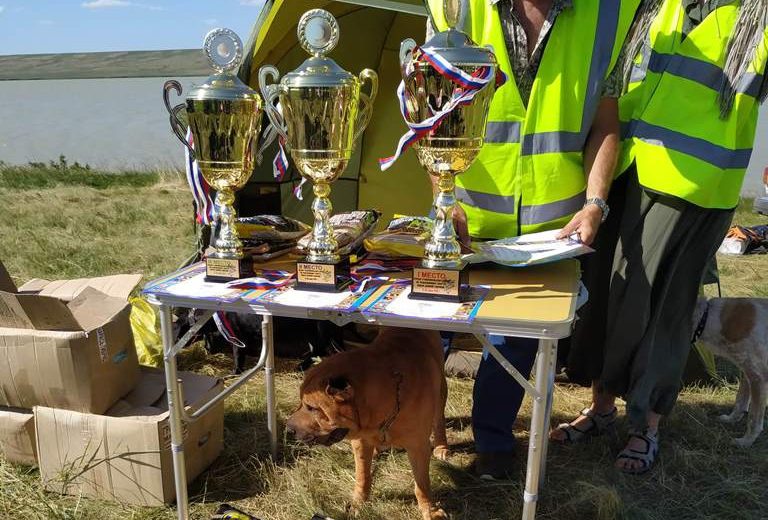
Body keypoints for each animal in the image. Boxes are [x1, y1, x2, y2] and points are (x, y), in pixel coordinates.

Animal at [284, 328, 448, 516]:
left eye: (311, 407)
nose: (288, 429)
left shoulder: (418, 447)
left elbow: (422, 485)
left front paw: (430, 510)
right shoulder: (360, 442)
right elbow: (362, 475)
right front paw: (358, 503)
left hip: (441, 391)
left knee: (439, 419)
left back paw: (441, 447)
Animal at [696, 296, 768, 446]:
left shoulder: (759, 378)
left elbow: (754, 420)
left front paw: (746, 441)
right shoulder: (747, 372)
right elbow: (740, 400)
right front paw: (732, 419)